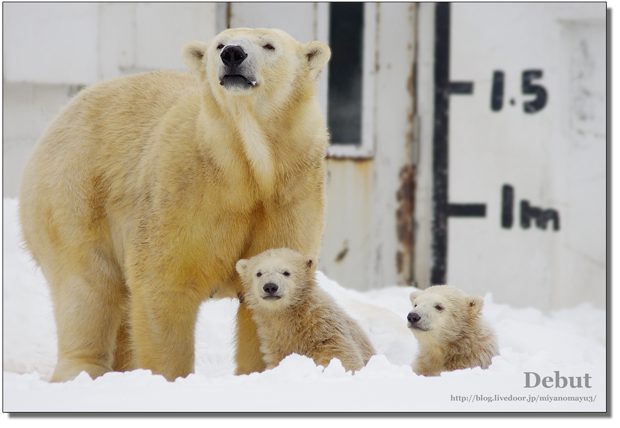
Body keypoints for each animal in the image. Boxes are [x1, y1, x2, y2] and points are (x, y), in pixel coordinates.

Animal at [18, 28, 330, 382]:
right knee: (87, 285)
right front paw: (169, 378)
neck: (247, 170)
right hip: (73, 192)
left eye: (269, 45)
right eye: (219, 44)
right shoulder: (186, 186)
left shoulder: (291, 192)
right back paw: (83, 370)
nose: (233, 54)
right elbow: (165, 282)